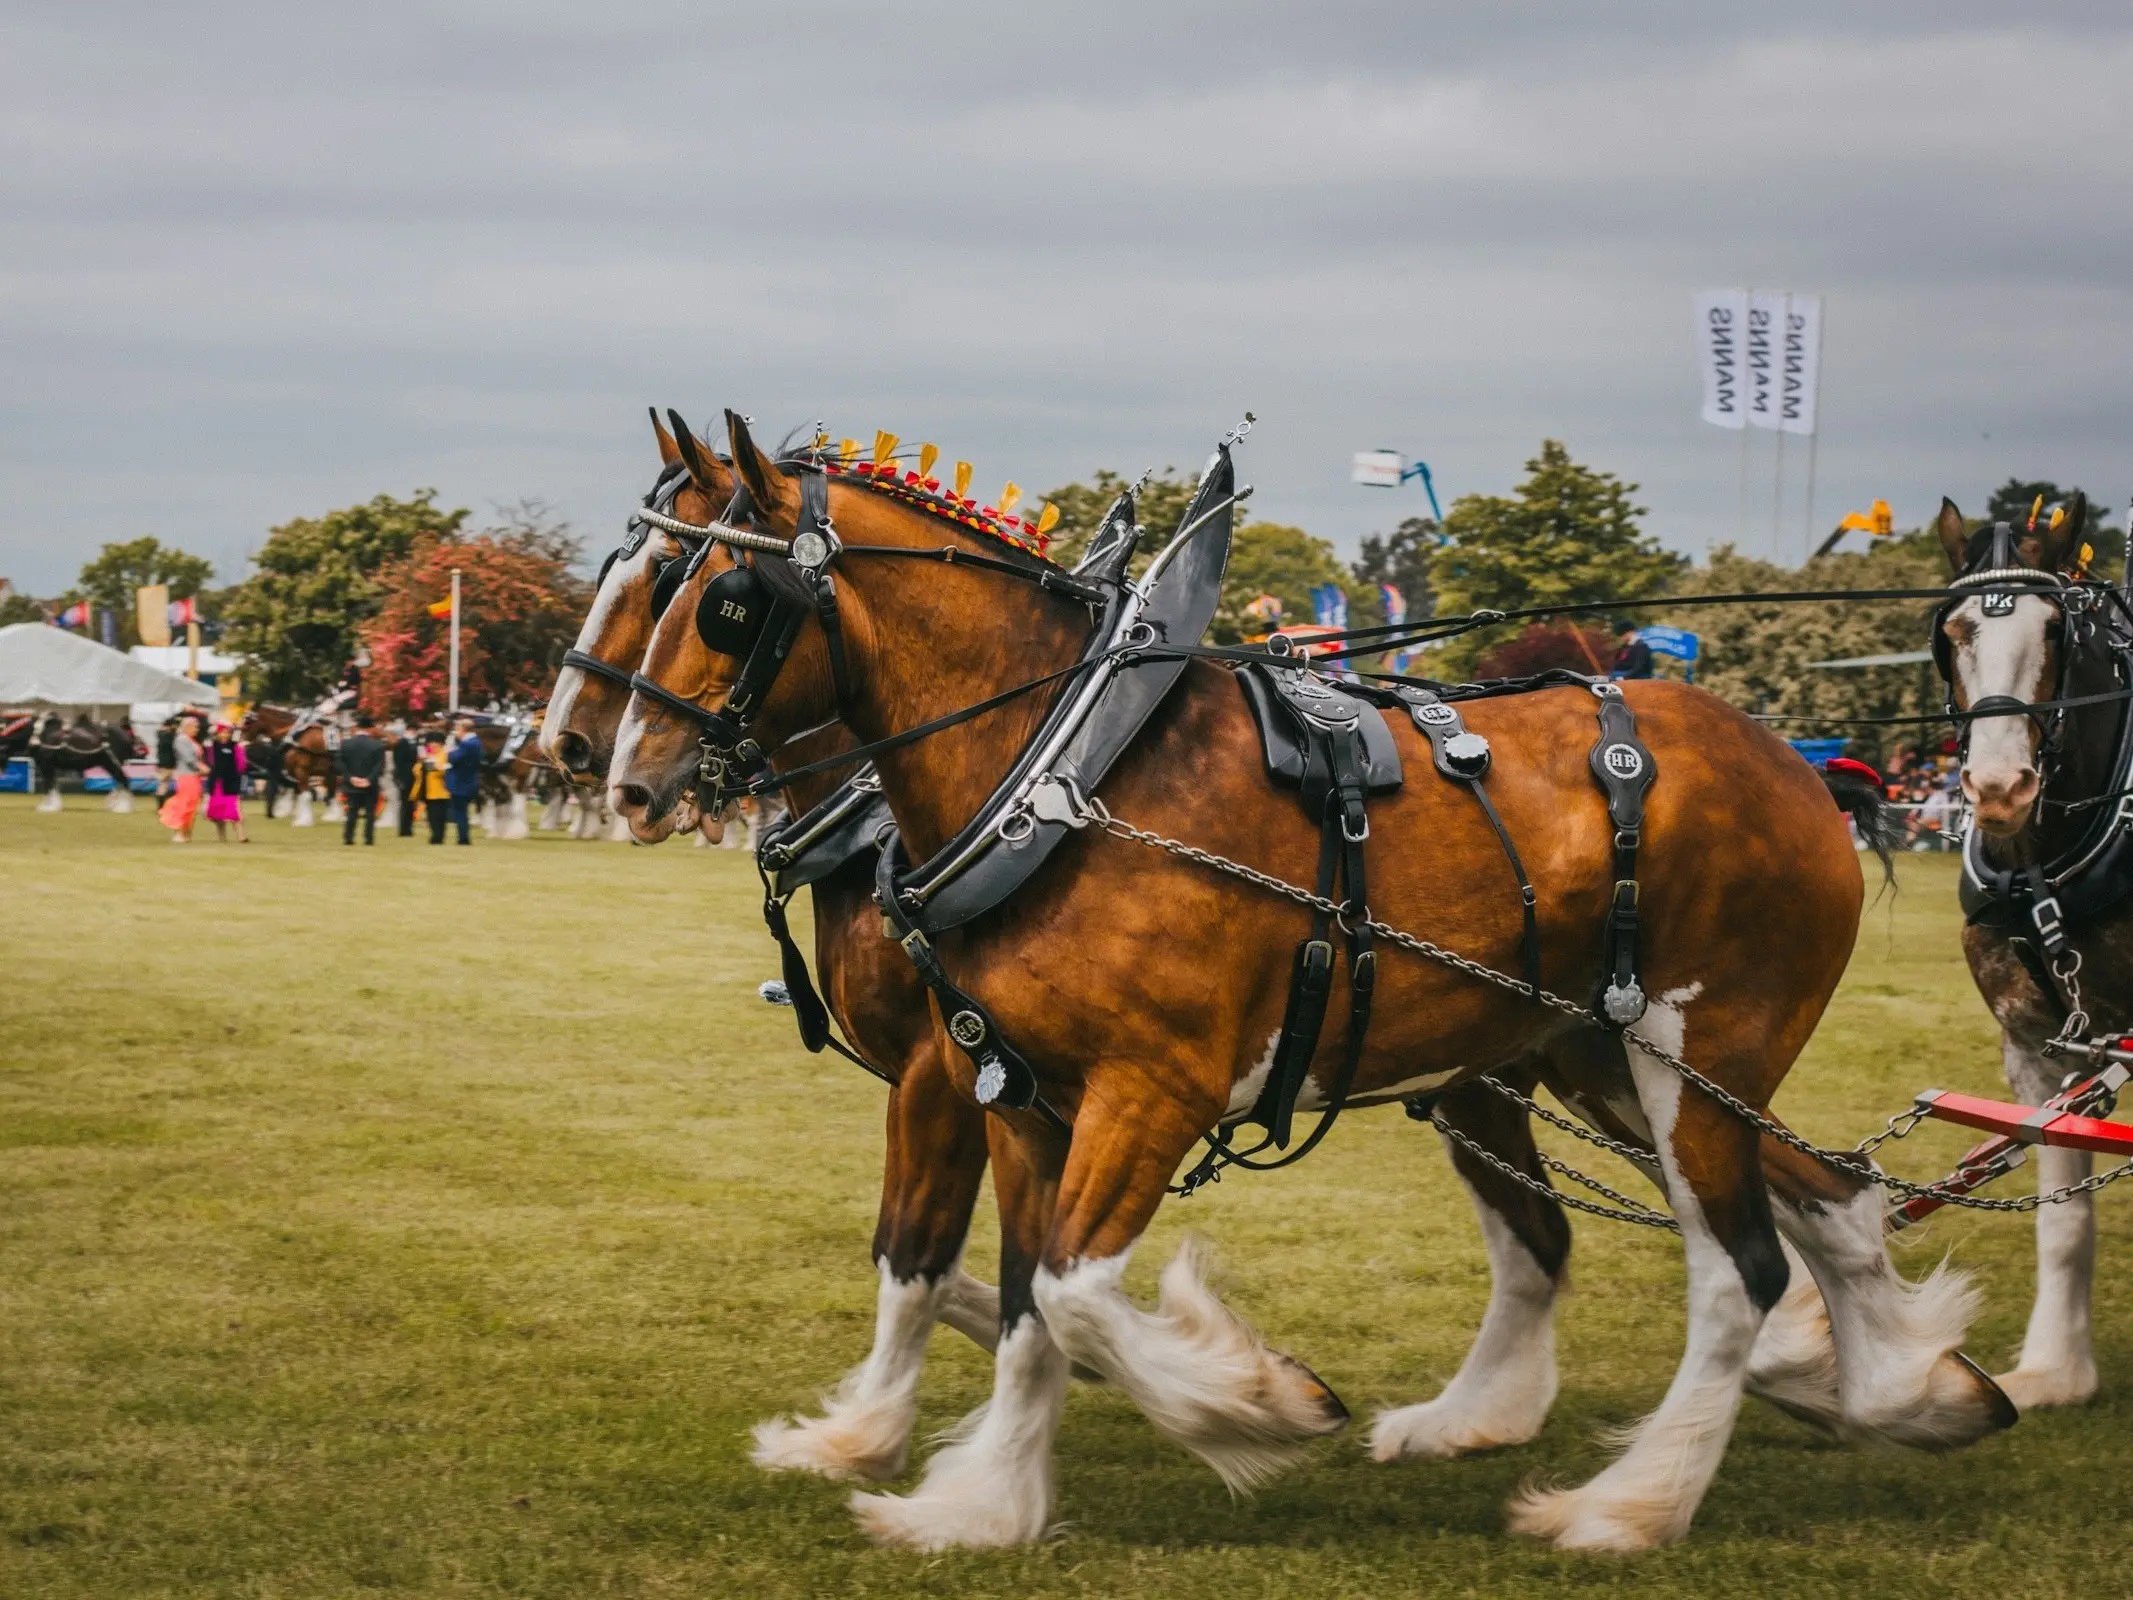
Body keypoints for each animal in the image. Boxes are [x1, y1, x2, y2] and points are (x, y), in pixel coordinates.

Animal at [610, 413, 2005, 1553]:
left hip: (1692, 1057)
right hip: (1595, 1057)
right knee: (1815, 1199)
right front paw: (987, 1500)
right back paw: (1895, 1388)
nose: (613, 772)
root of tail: (1801, 768)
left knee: (1738, 1269)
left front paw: (1255, 1400)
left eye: (718, 597)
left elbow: (1068, 1292)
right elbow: (1016, 1295)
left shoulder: (1144, 1089)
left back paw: (1633, 1502)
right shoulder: (1014, 1087)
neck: (1062, 776)